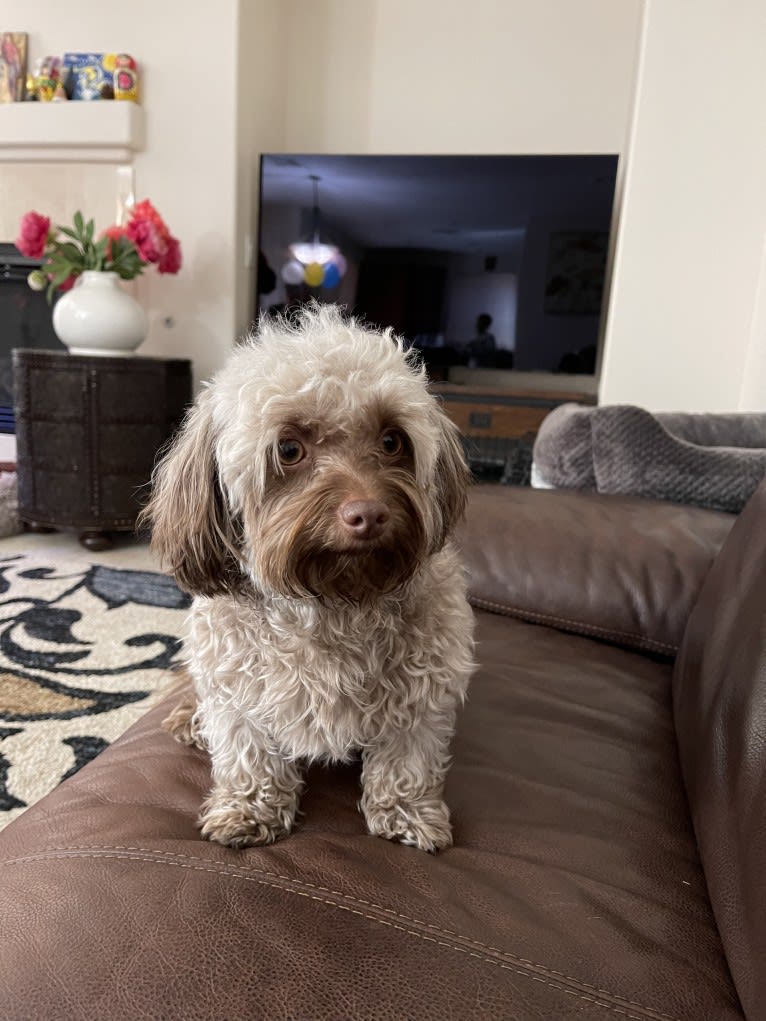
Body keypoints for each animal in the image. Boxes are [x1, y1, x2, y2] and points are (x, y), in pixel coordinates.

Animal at [145, 304, 473, 853]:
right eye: (289, 449)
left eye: (392, 440)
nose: (368, 515)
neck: (333, 601)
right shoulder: (239, 694)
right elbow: (249, 756)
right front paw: (248, 809)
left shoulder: (423, 693)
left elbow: (406, 759)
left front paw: (406, 813)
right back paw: (189, 719)